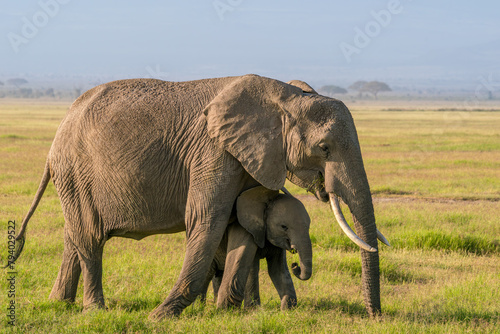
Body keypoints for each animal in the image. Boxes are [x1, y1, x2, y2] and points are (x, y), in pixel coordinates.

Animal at [10, 74, 386, 320]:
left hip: (73, 179)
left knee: (72, 235)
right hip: (75, 172)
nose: (375, 317)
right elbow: (206, 221)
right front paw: (161, 316)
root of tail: (57, 136)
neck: (286, 96)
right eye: (324, 148)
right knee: (89, 238)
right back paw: (94, 311)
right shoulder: (213, 151)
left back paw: (60, 303)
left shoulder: (245, 156)